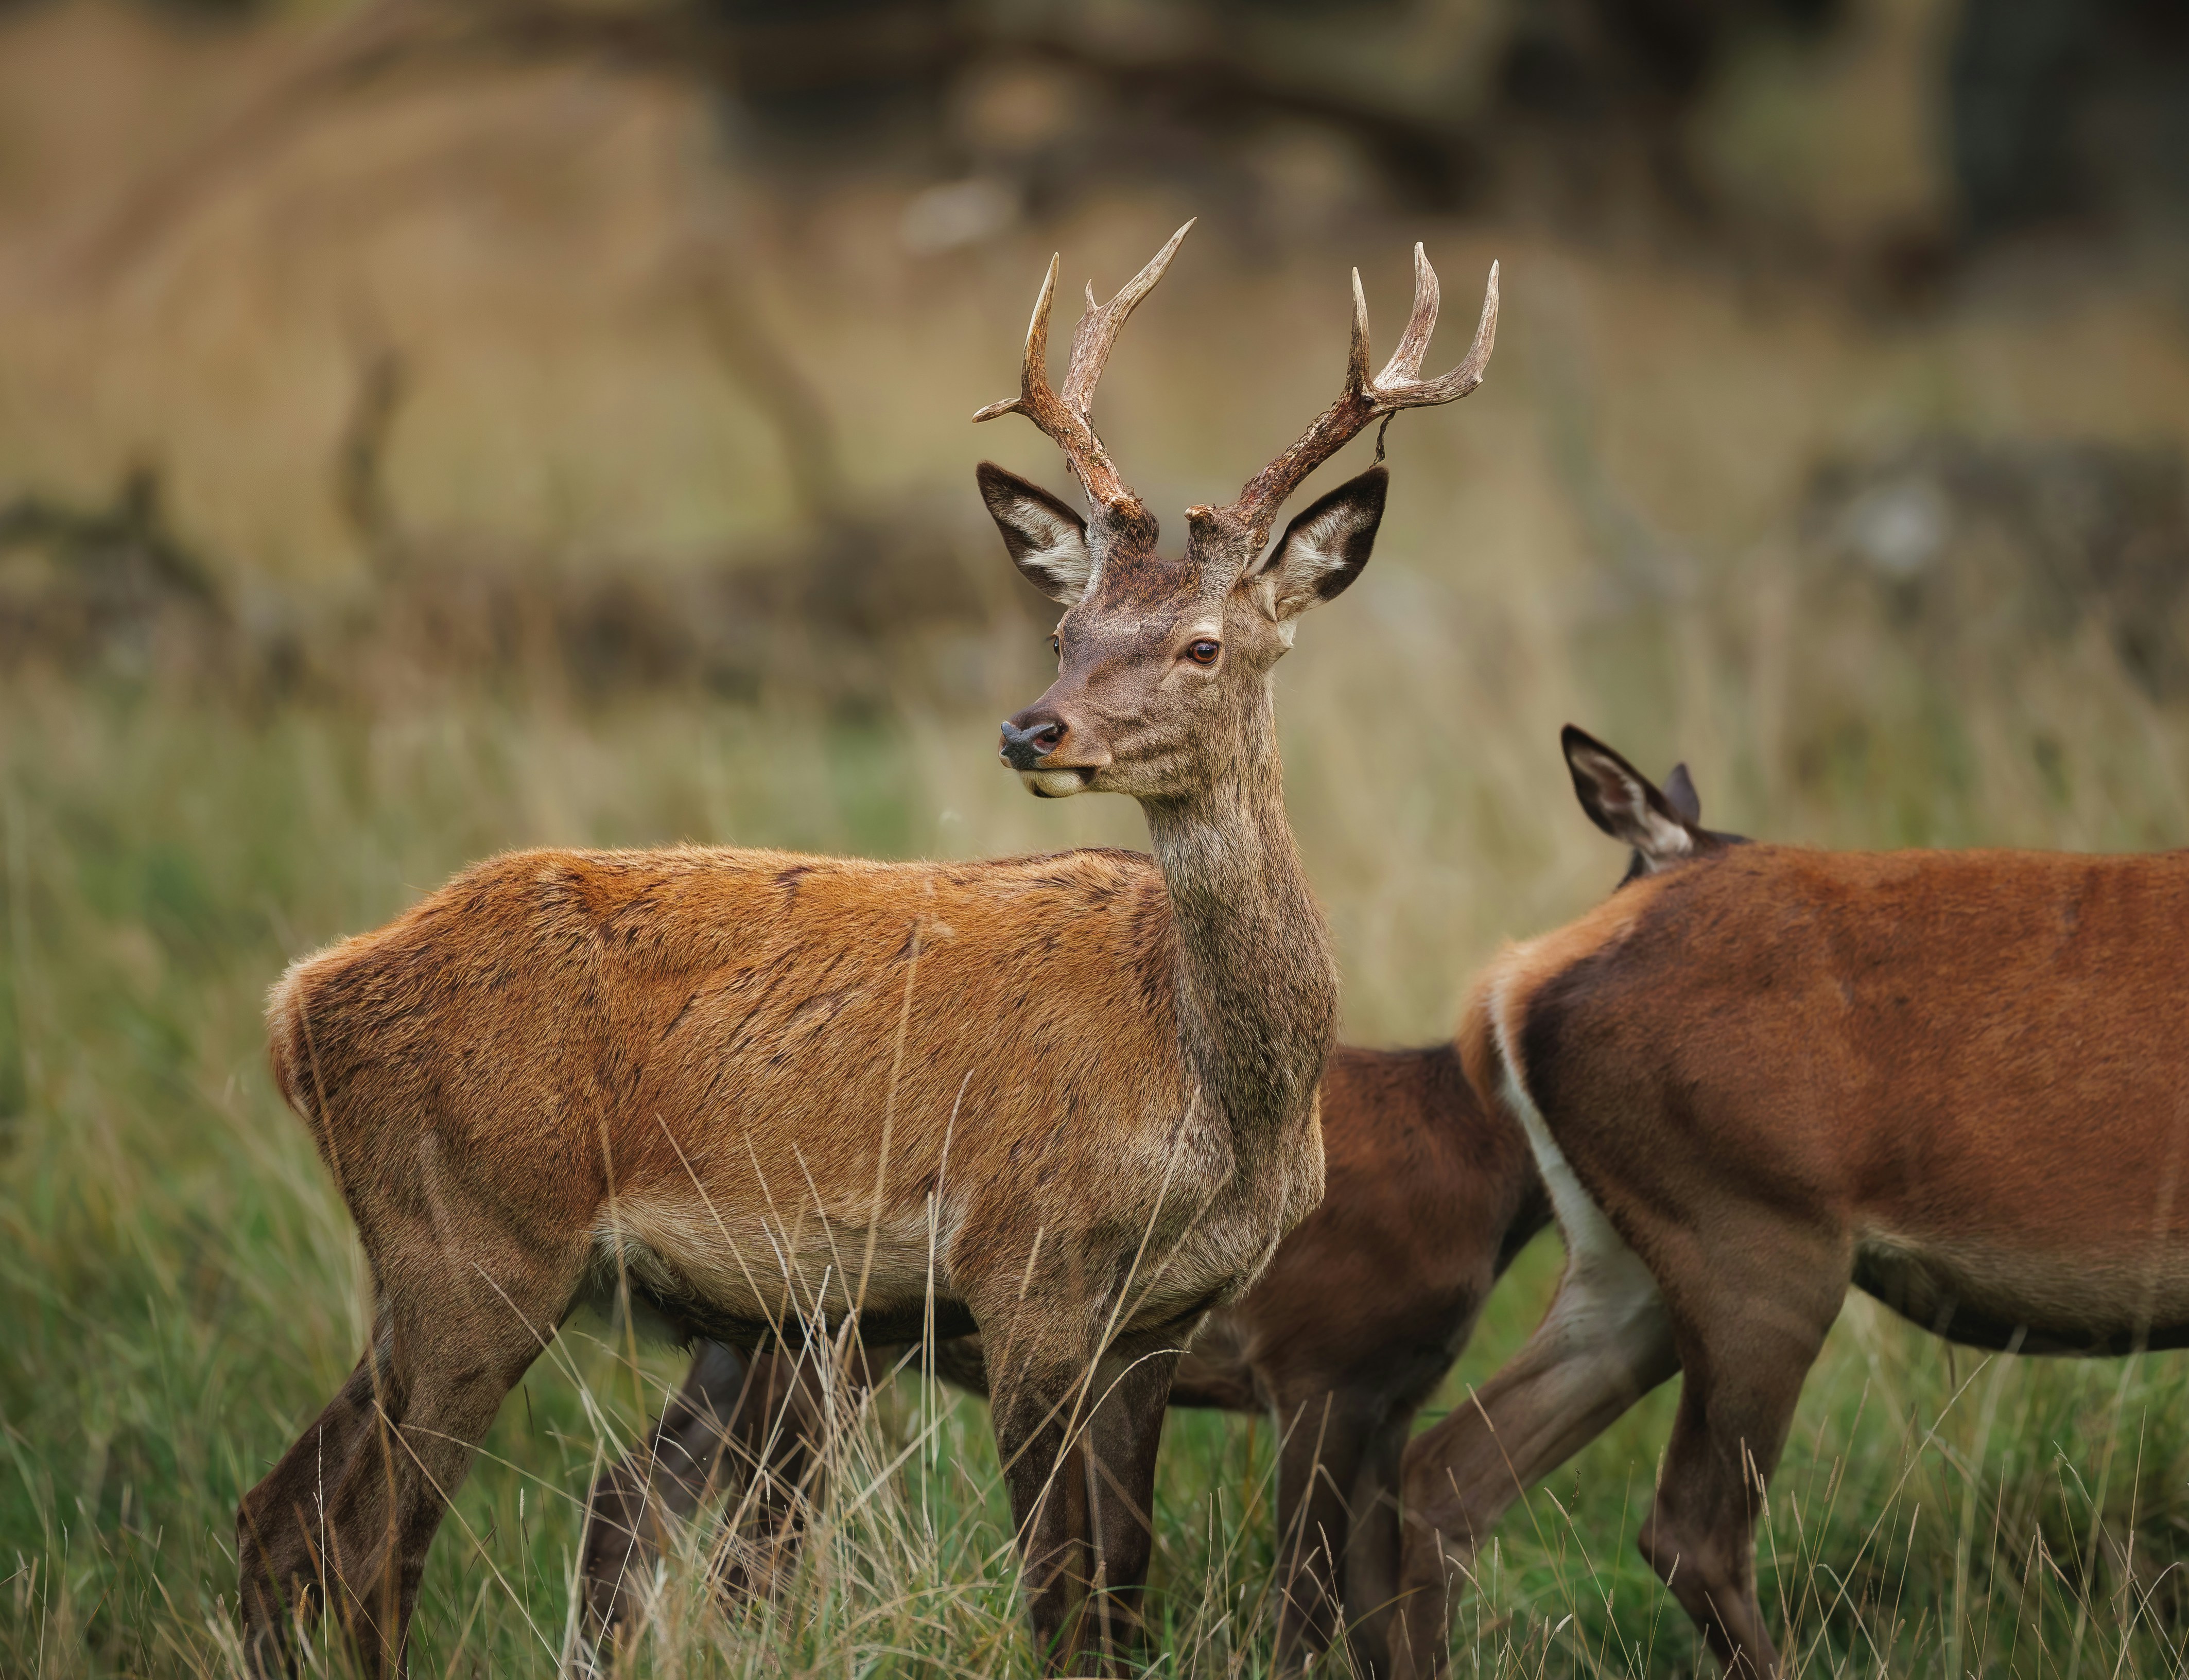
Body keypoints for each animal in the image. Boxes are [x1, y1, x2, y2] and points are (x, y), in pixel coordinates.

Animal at [235, 222, 1499, 1677]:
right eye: (1065, 631)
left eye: (1202, 642)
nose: (1030, 729)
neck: (1212, 1104)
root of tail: (299, 1002)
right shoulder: (1022, 1272)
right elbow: (1062, 1591)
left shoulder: (1155, 1323)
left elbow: (1123, 1586)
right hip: (477, 1239)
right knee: (370, 1539)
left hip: (425, 1262)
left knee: (281, 1513)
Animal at [577, 744, 1733, 1673]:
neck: (1470, 1151)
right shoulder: (1319, 1365)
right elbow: (1304, 1604)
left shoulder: (1393, 1390)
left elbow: (1373, 1609)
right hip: (825, 1339)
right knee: (744, 1542)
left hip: (743, 1334)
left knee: (635, 1495)